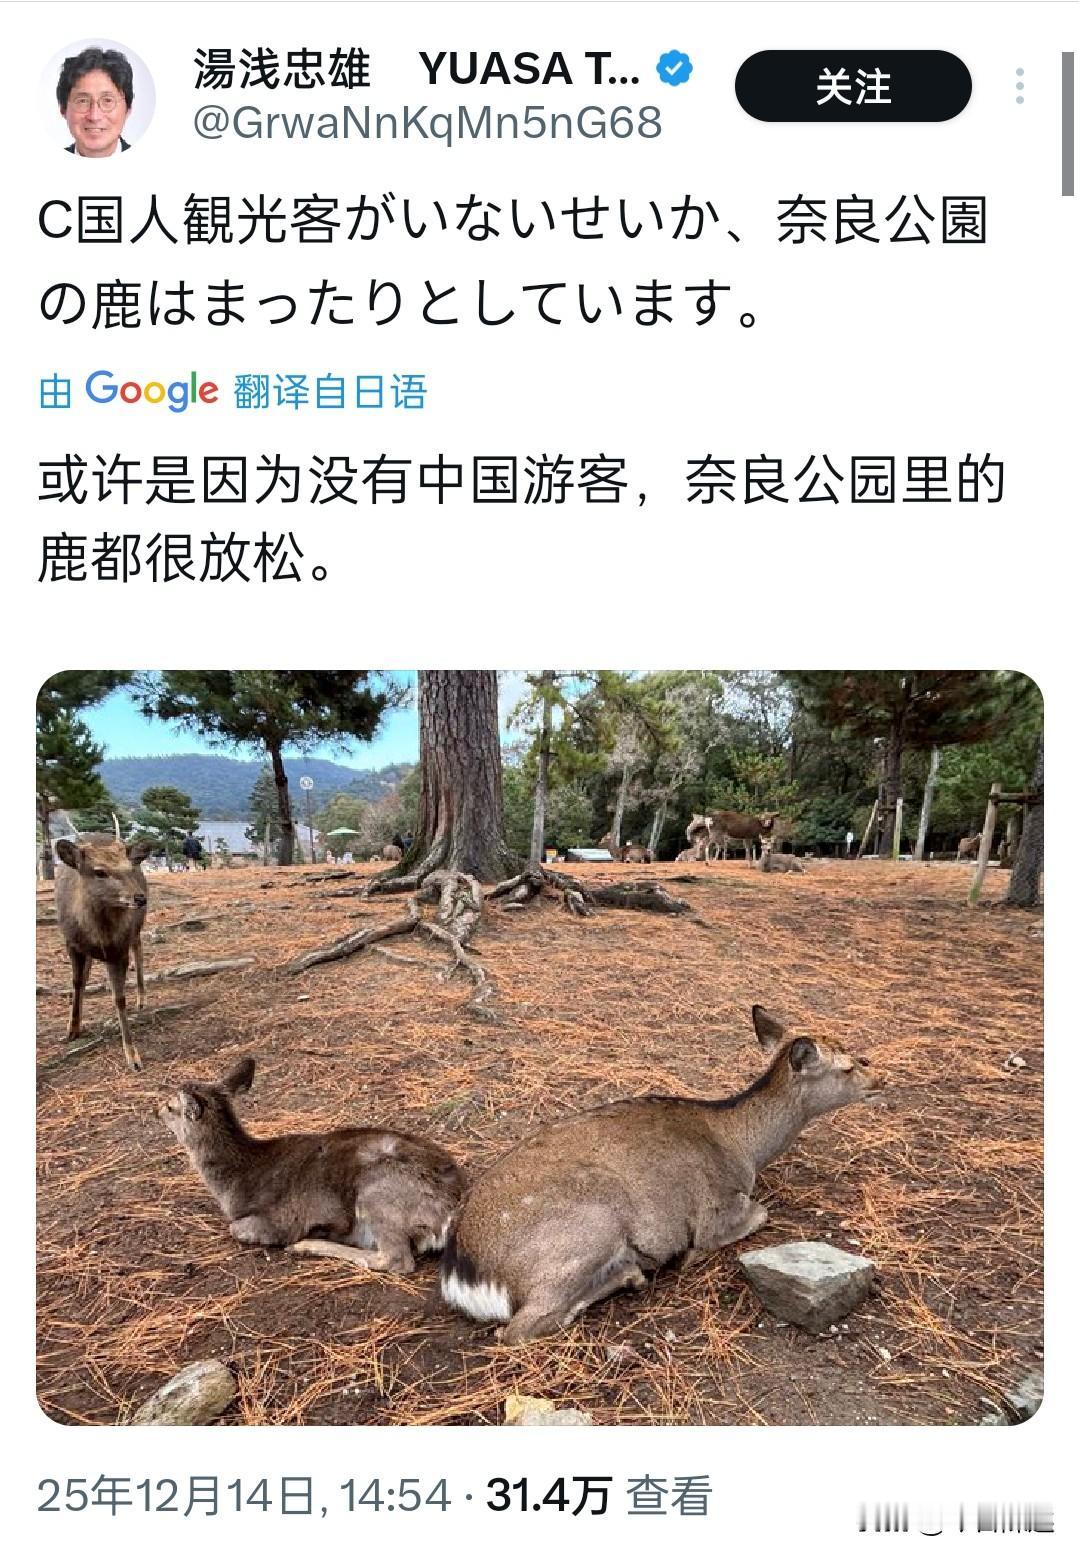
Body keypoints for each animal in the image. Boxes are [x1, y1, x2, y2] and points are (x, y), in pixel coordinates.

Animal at [54, 829, 153, 1071]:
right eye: (99, 871)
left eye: (129, 867)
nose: (140, 897)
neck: (100, 936)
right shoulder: (72, 943)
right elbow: (77, 983)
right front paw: (72, 1029)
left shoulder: (118, 950)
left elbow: (119, 998)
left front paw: (133, 1057)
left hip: (135, 930)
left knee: (139, 948)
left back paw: (141, 998)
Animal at [157, 1057, 465, 1273]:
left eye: (171, 1106)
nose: (156, 1109)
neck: (233, 1183)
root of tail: (451, 1209)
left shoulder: (278, 1221)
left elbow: (237, 1229)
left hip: (377, 1192)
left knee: (396, 1259)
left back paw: (307, 1245)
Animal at [440, 1005, 881, 1342]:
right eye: (846, 1066)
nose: (878, 1078)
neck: (745, 1147)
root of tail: (463, 1271)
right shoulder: (717, 1207)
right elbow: (757, 1214)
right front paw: (689, 1255)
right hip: (588, 1227)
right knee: (520, 1328)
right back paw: (632, 1273)